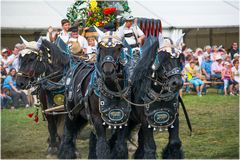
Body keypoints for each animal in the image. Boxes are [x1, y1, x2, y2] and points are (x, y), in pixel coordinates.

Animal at [58, 31, 129, 159]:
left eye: (119, 48)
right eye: (101, 47)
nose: (108, 72)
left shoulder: (123, 120)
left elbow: (120, 147)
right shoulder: (97, 119)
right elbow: (102, 147)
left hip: (82, 116)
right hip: (71, 113)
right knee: (68, 135)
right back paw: (66, 154)